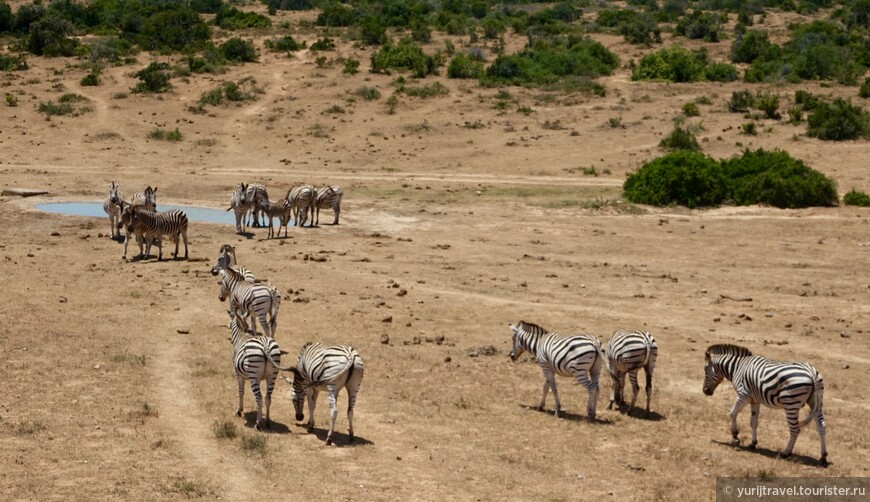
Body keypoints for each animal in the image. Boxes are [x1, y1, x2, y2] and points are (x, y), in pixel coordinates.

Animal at [700, 346, 832, 466]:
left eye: (705, 369)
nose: (705, 391)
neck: (738, 367)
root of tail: (810, 371)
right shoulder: (755, 400)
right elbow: (753, 422)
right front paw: (753, 443)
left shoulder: (744, 395)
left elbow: (732, 413)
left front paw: (735, 436)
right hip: (817, 402)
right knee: (821, 426)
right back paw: (823, 457)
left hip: (791, 403)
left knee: (795, 429)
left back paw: (786, 453)